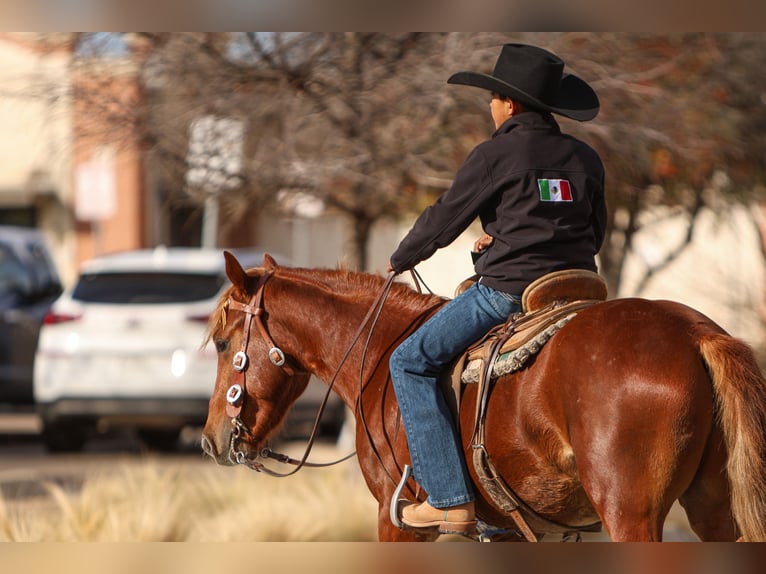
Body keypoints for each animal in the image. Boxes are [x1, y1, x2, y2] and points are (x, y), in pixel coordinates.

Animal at [200, 253, 766, 544]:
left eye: (224, 344)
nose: (210, 440)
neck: (376, 351)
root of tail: (693, 333)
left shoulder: (394, 518)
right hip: (716, 511)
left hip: (632, 515)